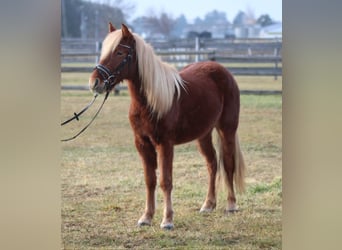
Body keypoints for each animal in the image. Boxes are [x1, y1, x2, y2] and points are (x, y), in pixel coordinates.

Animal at [89, 23, 244, 229]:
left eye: (120, 52)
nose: (95, 82)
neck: (150, 102)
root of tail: (223, 71)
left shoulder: (165, 144)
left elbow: (165, 181)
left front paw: (167, 220)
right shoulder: (142, 144)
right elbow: (150, 180)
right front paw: (146, 217)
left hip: (227, 130)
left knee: (227, 164)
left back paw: (231, 205)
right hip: (203, 134)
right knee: (212, 164)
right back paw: (208, 205)